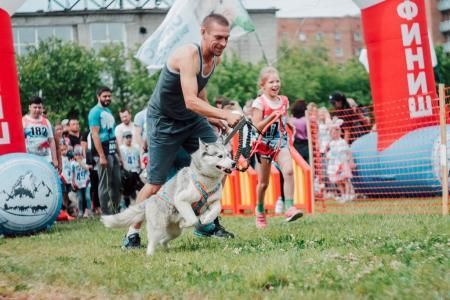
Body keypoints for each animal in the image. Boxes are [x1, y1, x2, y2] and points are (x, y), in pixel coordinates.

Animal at [101, 140, 236, 255]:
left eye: (228, 155)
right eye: (220, 156)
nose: (234, 163)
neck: (206, 181)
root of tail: (149, 200)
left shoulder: (213, 200)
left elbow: (217, 208)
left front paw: (206, 218)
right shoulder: (181, 199)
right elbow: (192, 219)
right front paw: (186, 222)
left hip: (174, 232)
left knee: (163, 240)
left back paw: (166, 248)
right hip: (157, 227)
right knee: (152, 241)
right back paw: (150, 254)